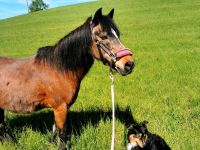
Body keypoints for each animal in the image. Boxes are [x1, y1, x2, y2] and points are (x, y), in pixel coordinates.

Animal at [0, 8, 134, 150]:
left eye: (118, 34)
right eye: (103, 36)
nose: (129, 64)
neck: (60, 68)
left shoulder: (61, 108)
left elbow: (56, 133)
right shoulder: (60, 108)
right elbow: (62, 135)